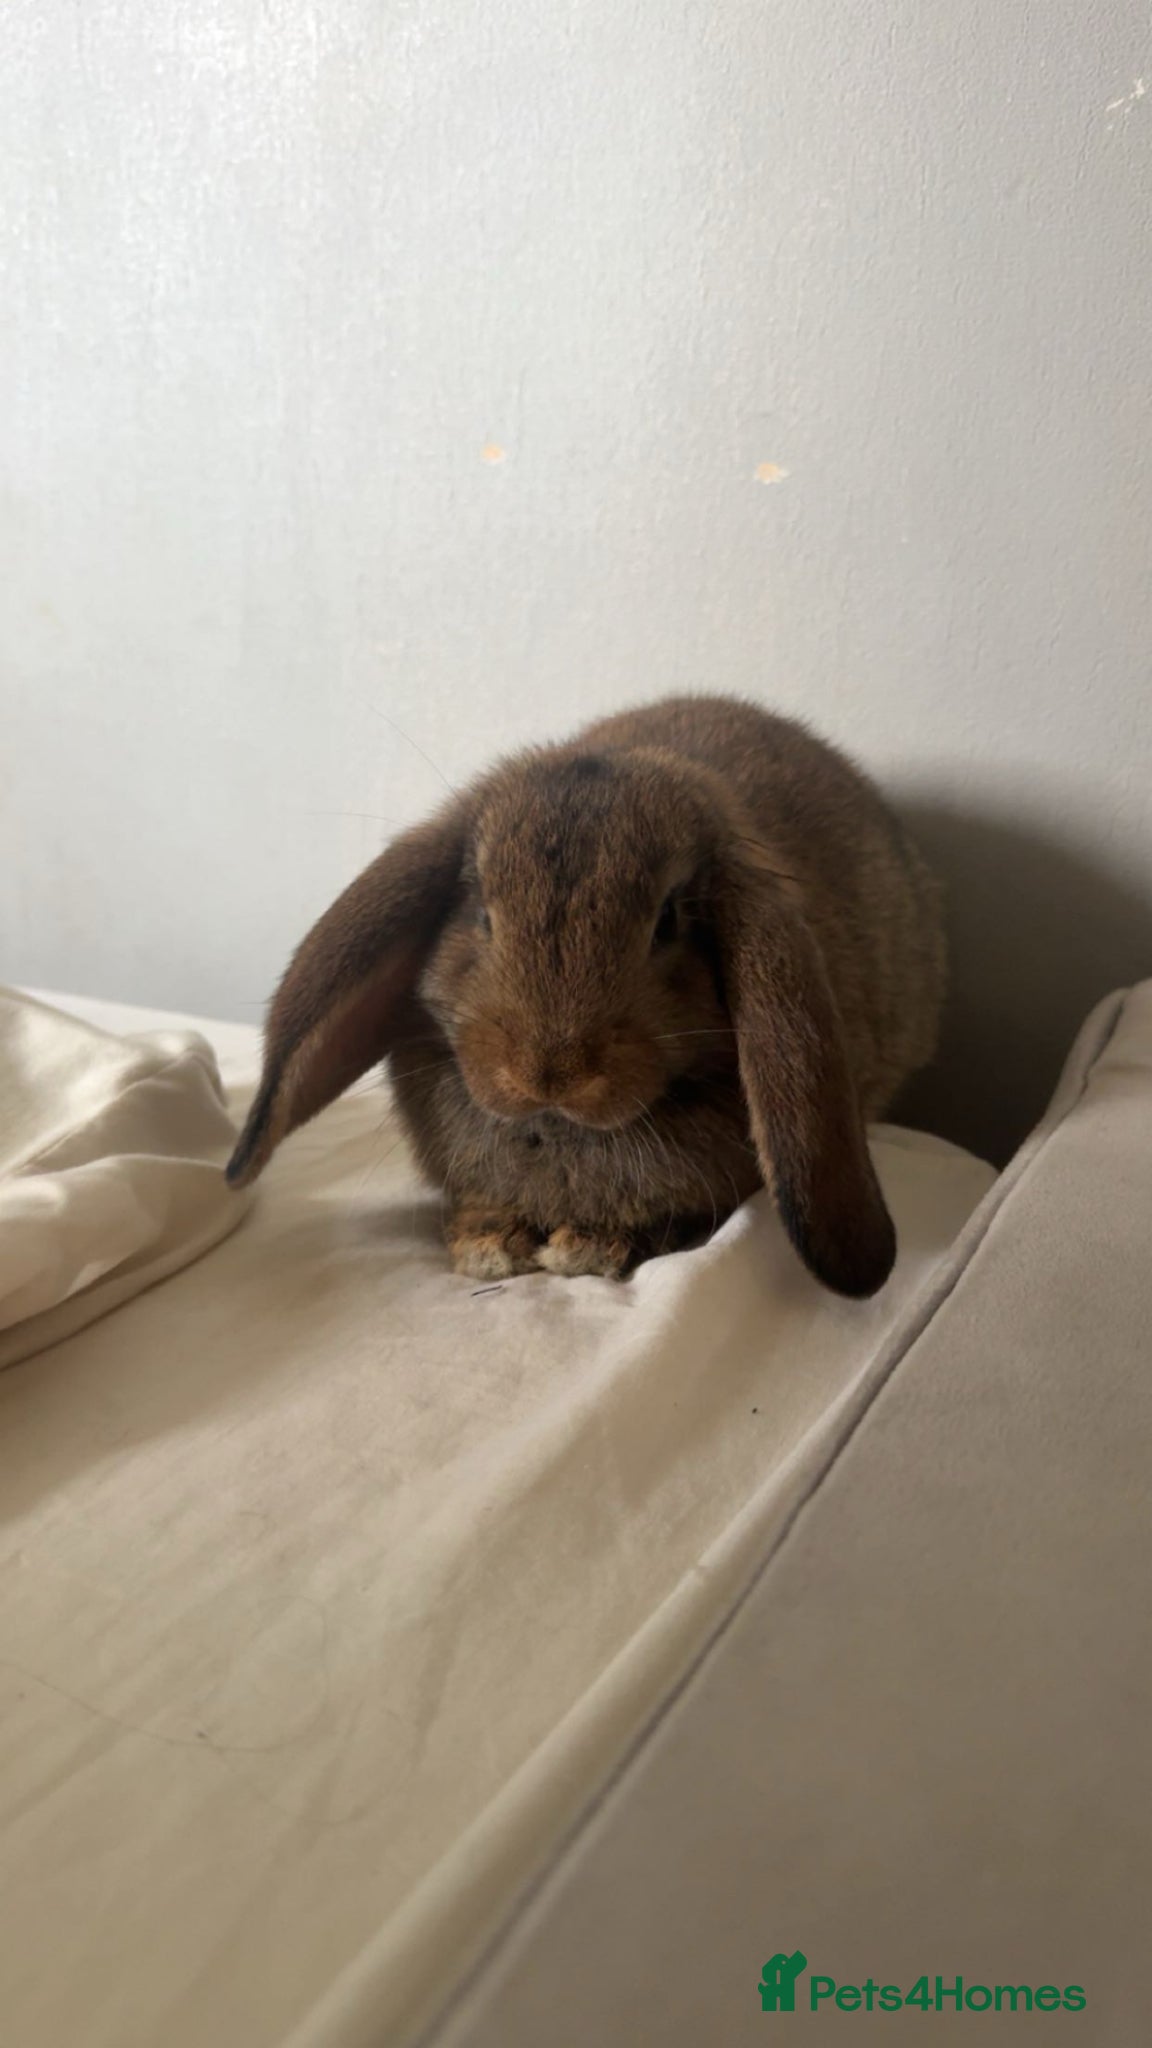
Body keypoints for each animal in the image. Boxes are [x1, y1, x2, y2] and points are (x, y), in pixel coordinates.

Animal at [227, 695, 945, 1297]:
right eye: (482, 914)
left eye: (668, 922)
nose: (549, 1073)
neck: (553, 1131)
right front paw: (489, 1245)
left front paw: (586, 1248)